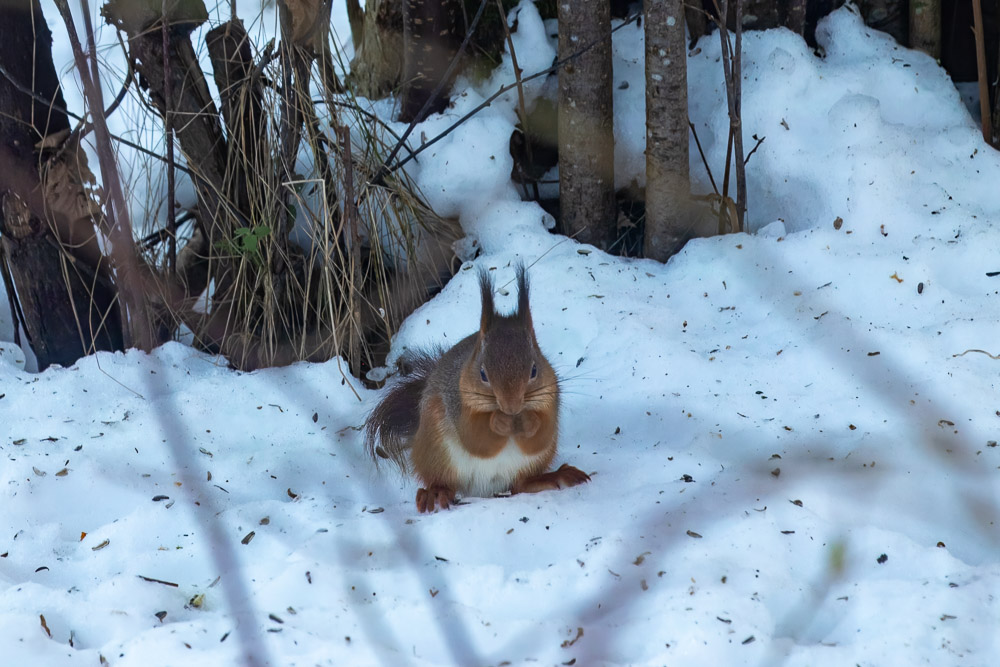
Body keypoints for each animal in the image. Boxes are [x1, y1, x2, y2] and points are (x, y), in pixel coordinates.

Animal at [366, 264, 584, 516]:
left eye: (534, 370)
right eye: (483, 374)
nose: (511, 407)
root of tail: (483, 490)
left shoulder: (550, 399)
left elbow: (541, 436)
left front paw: (529, 420)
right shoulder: (458, 404)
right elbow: (475, 439)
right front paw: (498, 421)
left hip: (534, 463)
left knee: (521, 485)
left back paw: (554, 477)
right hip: (435, 449)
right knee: (443, 480)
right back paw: (436, 493)